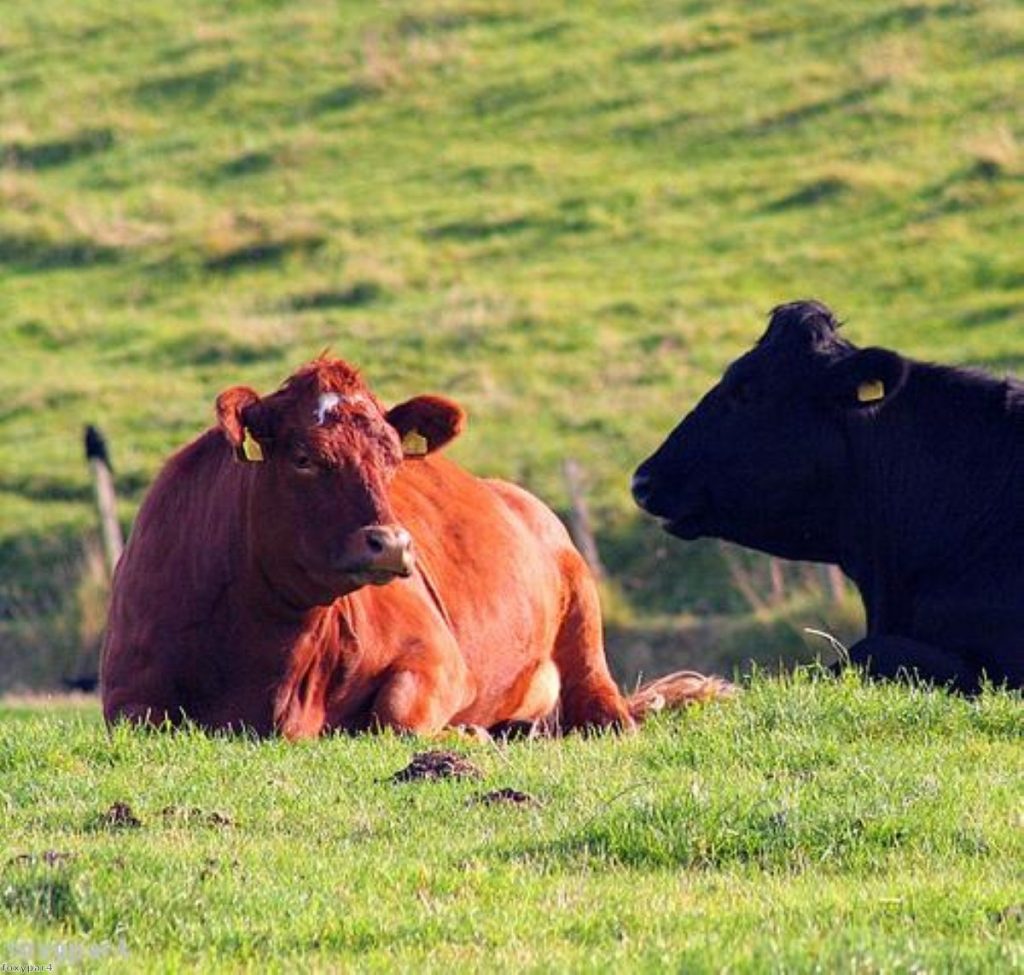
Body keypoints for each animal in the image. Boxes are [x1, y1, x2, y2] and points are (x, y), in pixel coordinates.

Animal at [101, 360, 729, 737]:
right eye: (303, 457)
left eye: (392, 459)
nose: (392, 543)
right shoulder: (126, 698)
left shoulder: (439, 659)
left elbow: (396, 715)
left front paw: (464, 732)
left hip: (585, 631)